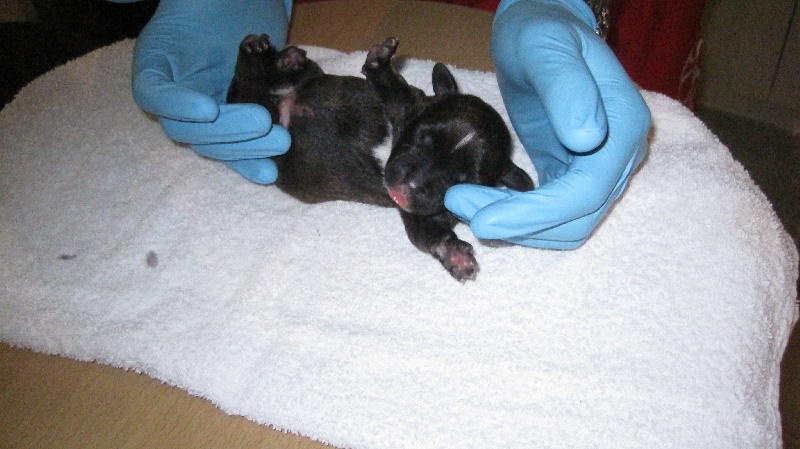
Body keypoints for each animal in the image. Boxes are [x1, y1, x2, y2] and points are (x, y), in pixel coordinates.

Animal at [227, 35, 534, 282]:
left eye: (461, 180)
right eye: (421, 136)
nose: (410, 186)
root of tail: (279, 103)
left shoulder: (422, 211)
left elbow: (429, 234)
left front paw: (455, 254)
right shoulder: (404, 102)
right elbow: (387, 82)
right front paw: (380, 59)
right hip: (270, 106)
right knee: (246, 84)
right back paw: (269, 53)